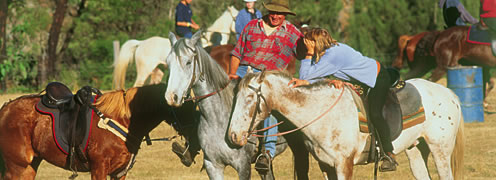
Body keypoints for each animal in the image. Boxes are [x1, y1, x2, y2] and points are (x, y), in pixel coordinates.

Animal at [0, 83, 198, 179]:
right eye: (185, 106)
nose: (195, 135)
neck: (124, 119)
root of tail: (6, 109)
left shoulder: (119, 173)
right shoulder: (99, 169)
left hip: (29, 167)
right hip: (18, 168)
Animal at [229, 71, 464, 180]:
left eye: (250, 98)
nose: (233, 136)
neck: (321, 112)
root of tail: (449, 93)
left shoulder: (344, 164)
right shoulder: (326, 165)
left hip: (440, 151)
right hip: (415, 150)